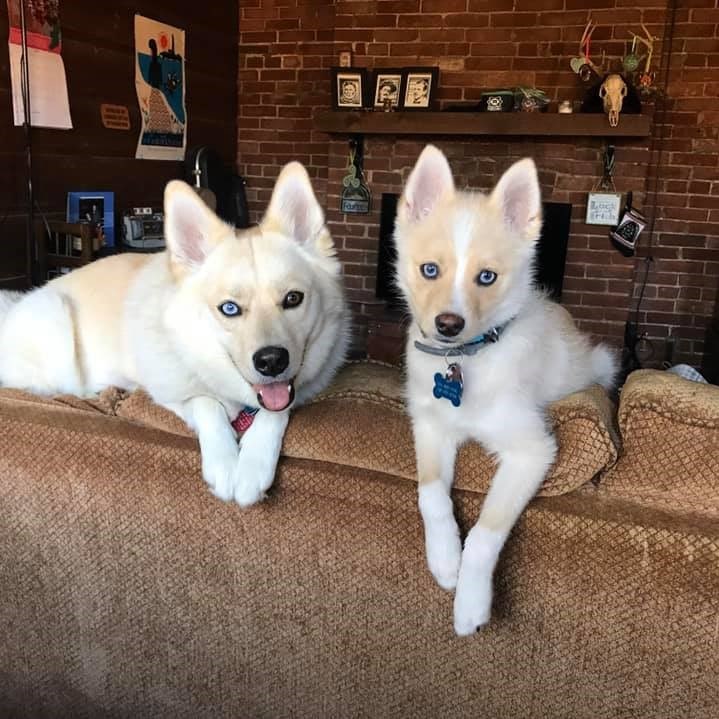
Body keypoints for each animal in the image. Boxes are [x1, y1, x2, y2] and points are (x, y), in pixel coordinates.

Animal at [0, 162, 348, 506]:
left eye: (293, 298)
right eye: (229, 308)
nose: (272, 362)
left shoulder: (296, 391)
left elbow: (278, 411)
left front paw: (252, 465)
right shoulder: (169, 394)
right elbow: (207, 403)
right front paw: (225, 464)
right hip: (56, 321)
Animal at [394, 145, 620, 636]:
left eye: (486, 277)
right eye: (429, 270)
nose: (448, 325)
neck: (464, 360)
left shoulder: (532, 451)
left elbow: (486, 530)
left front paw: (470, 602)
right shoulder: (429, 426)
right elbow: (430, 493)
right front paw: (445, 559)